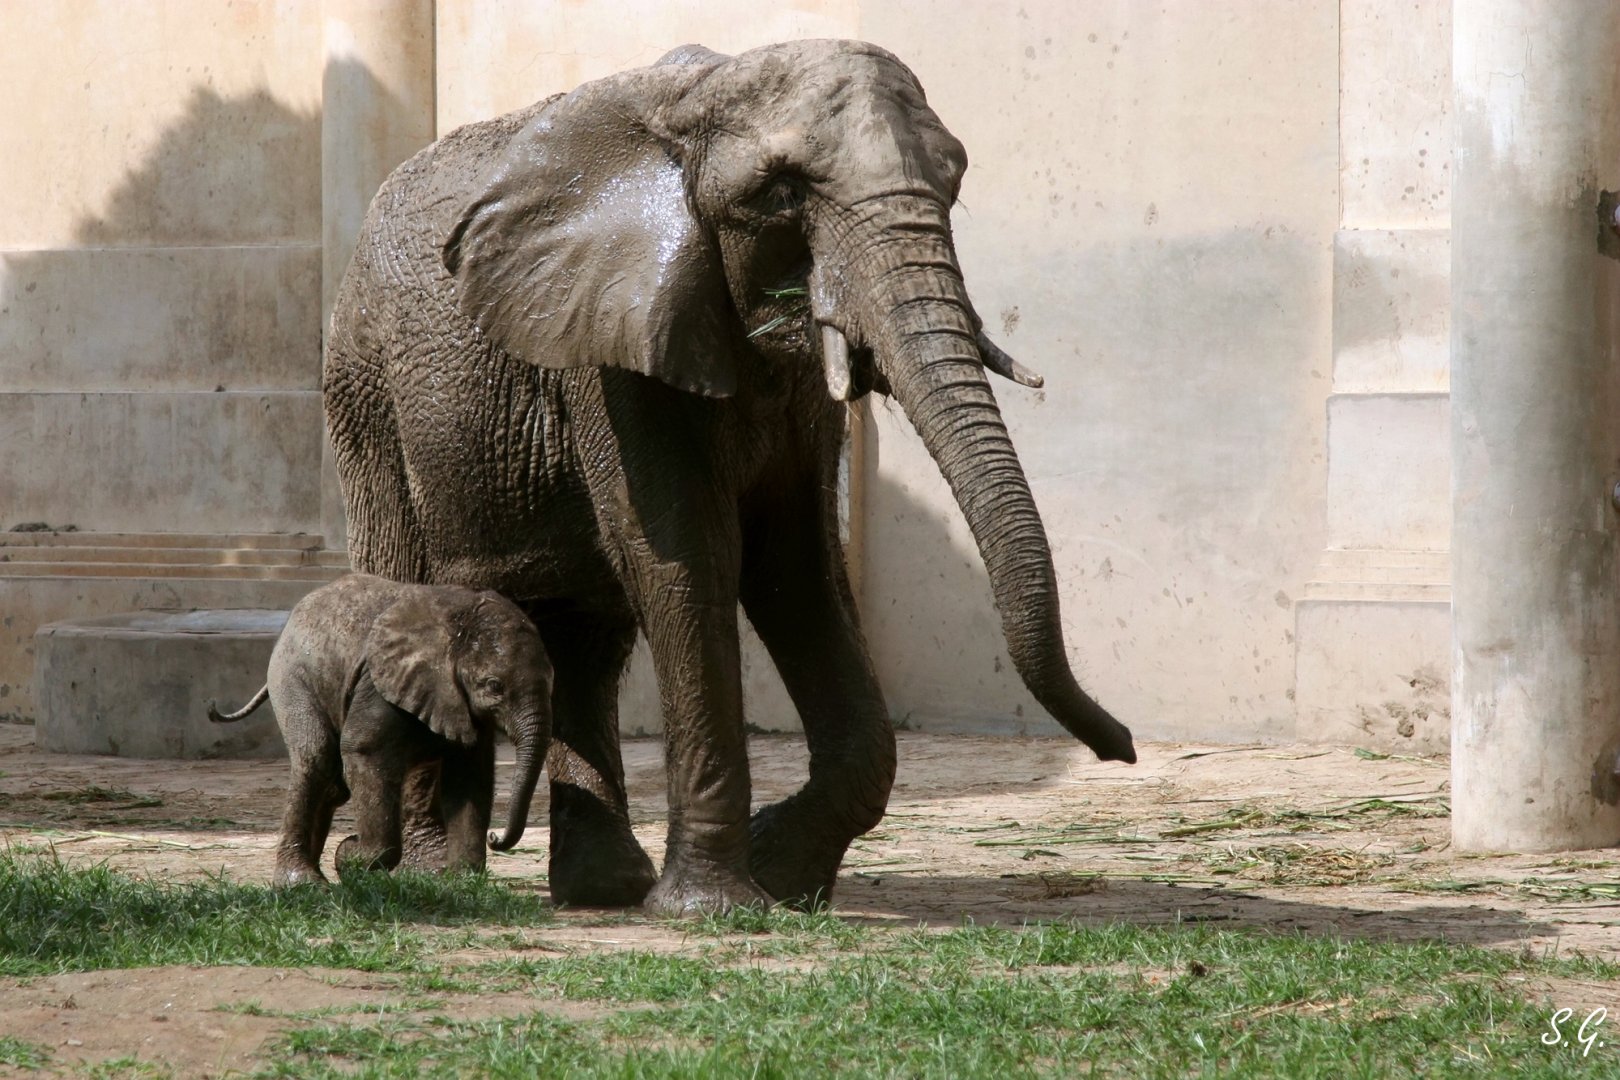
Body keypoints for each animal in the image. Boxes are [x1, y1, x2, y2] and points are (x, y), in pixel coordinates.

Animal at [207, 573, 553, 885]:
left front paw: (461, 880)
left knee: (333, 783)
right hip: (292, 675)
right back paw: (303, 883)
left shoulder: (458, 701)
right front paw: (348, 855)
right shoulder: (378, 686)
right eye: (494, 686)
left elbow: (470, 774)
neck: (454, 627)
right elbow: (365, 752)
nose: (495, 837)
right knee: (315, 756)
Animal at [324, 39, 1136, 914]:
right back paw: (425, 875)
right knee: (415, 589)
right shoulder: (608, 354)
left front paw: (781, 872)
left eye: (952, 179)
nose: (1122, 746)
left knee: (585, 637)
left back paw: (603, 889)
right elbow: (686, 561)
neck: (697, 100)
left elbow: (800, 570)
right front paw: (717, 908)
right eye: (781, 195)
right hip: (368, 395)